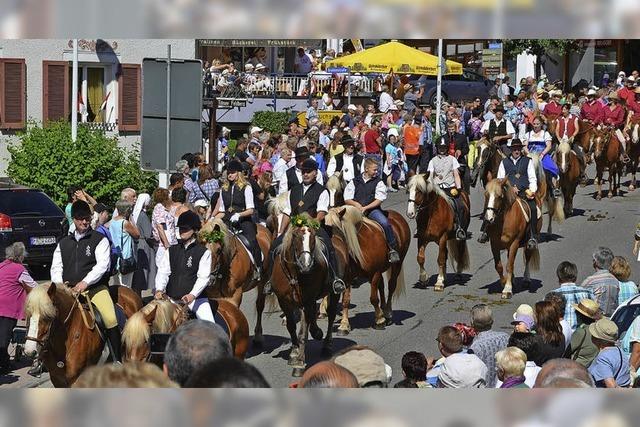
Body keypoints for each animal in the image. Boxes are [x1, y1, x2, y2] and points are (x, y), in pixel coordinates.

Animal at [268, 217, 344, 378]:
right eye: (296, 236)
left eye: (313, 236)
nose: (306, 264)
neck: (295, 274)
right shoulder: (284, 301)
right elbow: (291, 326)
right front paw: (294, 352)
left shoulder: (306, 300)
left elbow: (303, 333)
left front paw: (300, 364)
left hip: (334, 293)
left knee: (331, 315)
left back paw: (327, 346)